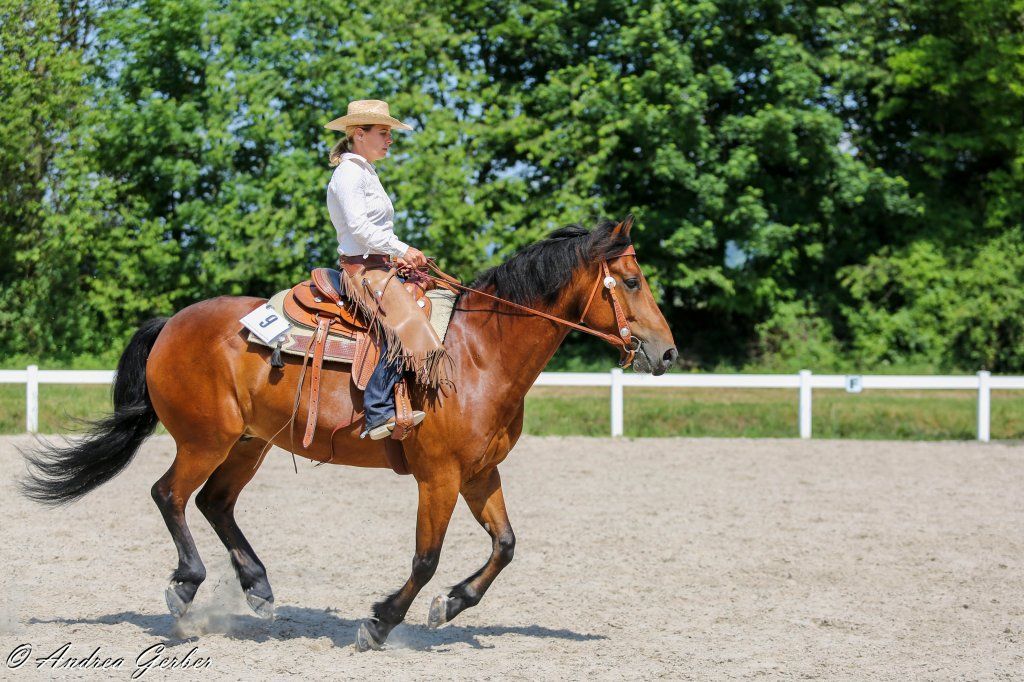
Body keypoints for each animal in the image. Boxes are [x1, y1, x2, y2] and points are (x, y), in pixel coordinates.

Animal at [21, 215, 677, 650]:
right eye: (634, 281)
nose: (667, 352)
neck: (478, 354)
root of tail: (172, 323)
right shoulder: (439, 476)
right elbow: (426, 557)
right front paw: (380, 621)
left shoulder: (479, 472)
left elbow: (505, 545)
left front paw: (450, 607)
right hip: (205, 440)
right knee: (171, 495)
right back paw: (185, 589)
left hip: (249, 444)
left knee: (214, 503)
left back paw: (259, 588)